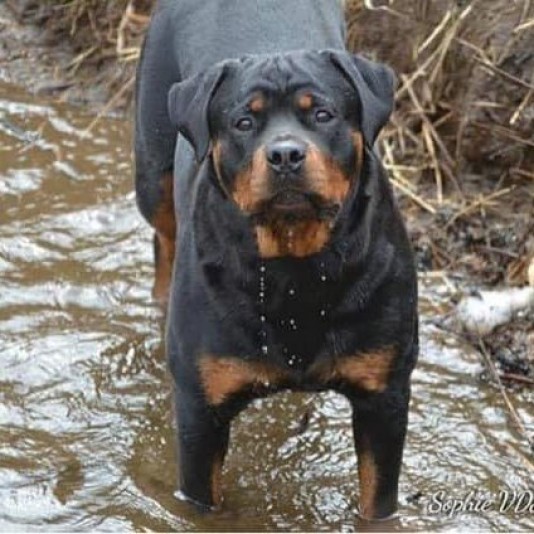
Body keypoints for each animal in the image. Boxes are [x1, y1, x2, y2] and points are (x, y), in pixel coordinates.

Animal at [134, 0, 418, 524]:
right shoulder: (200, 412)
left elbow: (377, 501)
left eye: (323, 114)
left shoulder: (384, 397)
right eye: (244, 123)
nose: (285, 153)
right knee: (164, 236)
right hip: (153, 169)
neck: (294, 265)